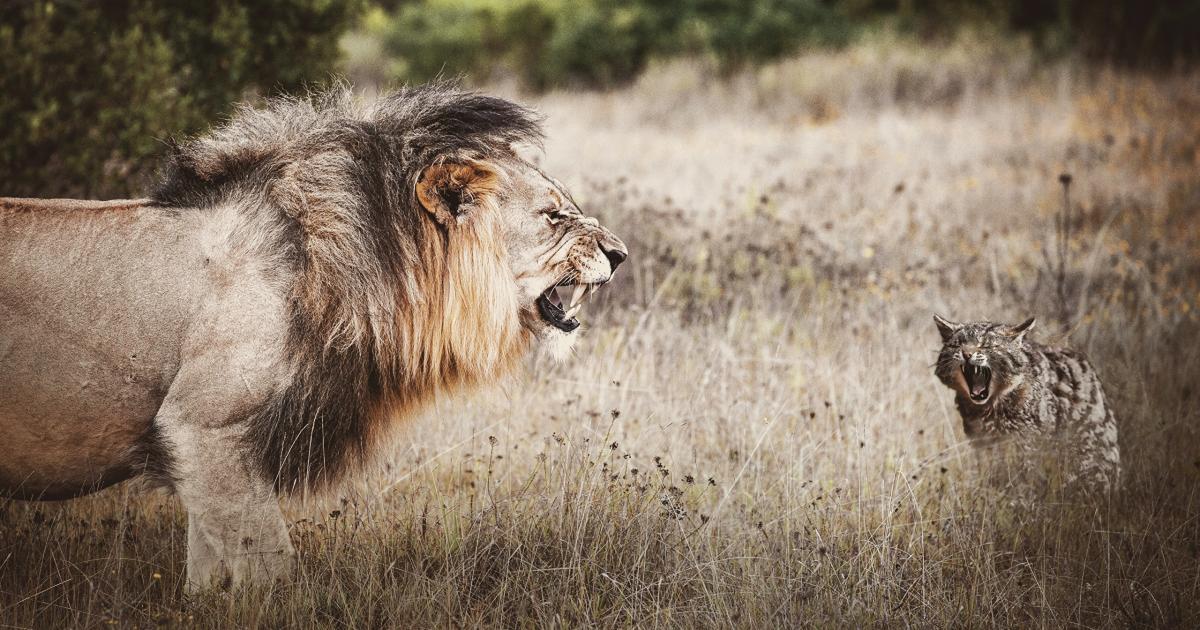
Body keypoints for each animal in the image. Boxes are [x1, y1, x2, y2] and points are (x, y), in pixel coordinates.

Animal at [0, 81, 633, 588]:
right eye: (553, 216)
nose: (621, 254)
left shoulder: (207, 450)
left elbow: (210, 570)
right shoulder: (201, 425)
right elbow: (269, 563)